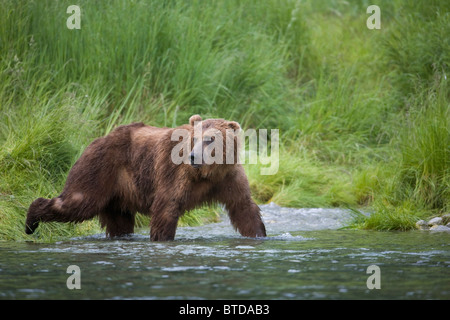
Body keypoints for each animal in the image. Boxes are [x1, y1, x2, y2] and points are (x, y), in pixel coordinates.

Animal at [24, 115, 268, 240]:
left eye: (210, 139)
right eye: (194, 138)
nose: (193, 156)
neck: (207, 173)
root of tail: (98, 139)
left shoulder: (228, 177)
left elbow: (243, 208)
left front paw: (259, 235)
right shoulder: (174, 173)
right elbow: (166, 207)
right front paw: (162, 238)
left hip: (118, 193)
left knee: (119, 221)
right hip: (100, 170)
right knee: (78, 200)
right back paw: (30, 221)